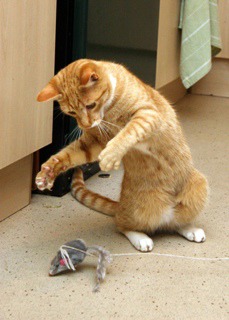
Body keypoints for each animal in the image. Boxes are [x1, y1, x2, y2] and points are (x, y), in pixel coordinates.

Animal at [35, 58, 208, 251]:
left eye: (90, 105)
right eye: (71, 112)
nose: (85, 125)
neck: (109, 111)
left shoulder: (148, 114)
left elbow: (129, 131)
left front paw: (111, 155)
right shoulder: (95, 141)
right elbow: (68, 155)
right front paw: (48, 171)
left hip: (199, 184)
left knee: (174, 222)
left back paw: (188, 229)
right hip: (138, 209)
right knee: (123, 224)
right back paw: (141, 237)